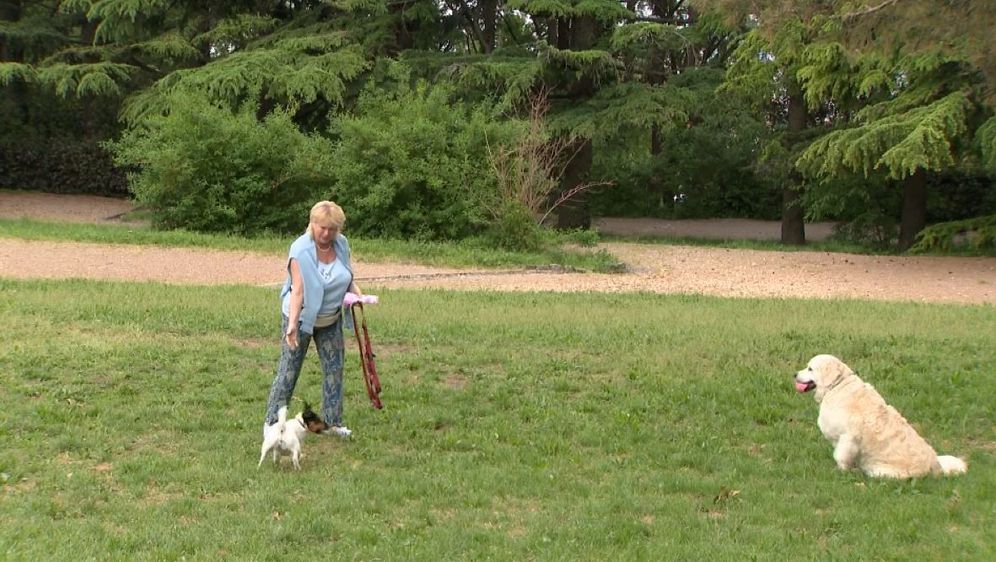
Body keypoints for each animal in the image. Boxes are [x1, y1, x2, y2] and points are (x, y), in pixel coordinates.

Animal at [792, 354, 964, 476]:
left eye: (810, 369)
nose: (794, 374)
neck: (837, 386)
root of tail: (936, 466)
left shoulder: (848, 437)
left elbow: (841, 457)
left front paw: (841, 472)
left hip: (881, 471)